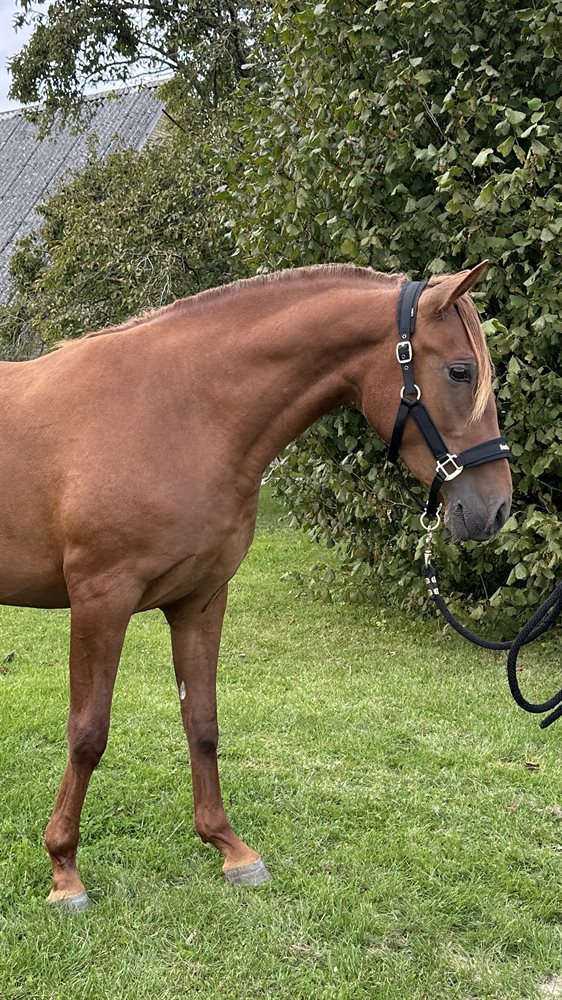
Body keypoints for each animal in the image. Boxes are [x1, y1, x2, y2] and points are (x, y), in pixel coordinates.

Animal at [0, 262, 512, 909]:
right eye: (460, 371)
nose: (496, 507)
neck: (176, 411)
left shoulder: (200, 601)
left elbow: (203, 725)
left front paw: (230, 849)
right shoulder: (101, 600)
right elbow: (88, 733)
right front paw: (65, 871)